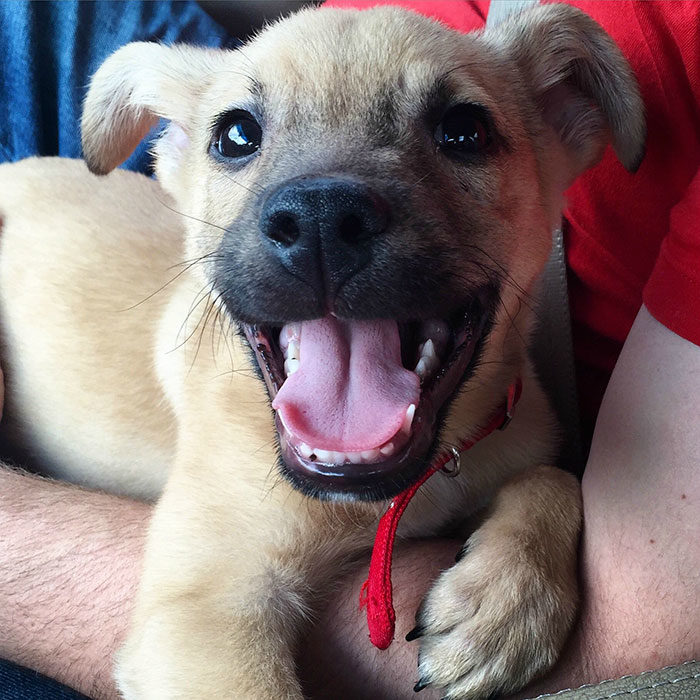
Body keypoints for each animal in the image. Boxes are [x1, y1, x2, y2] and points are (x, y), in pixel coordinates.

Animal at [0, 5, 644, 700]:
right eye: (235, 135)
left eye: (465, 130)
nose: (320, 220)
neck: (398, 493)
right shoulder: (203, 609)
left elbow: (557, 480)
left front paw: (503, 605)